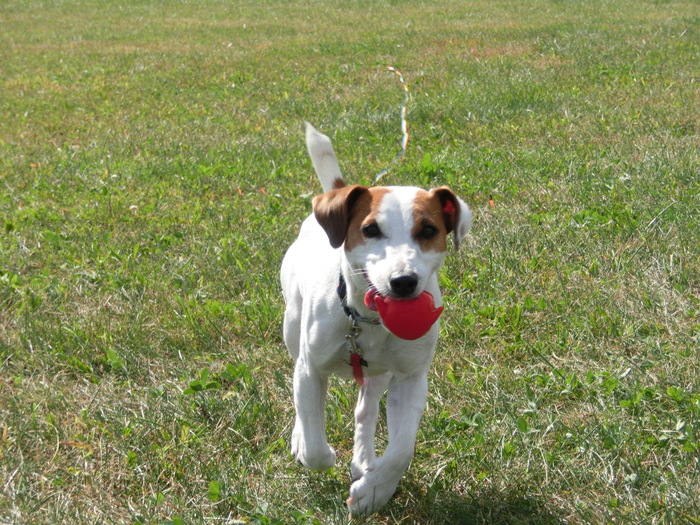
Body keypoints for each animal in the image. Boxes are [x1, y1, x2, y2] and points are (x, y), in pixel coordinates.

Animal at [278, 124, 470, 516]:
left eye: (429, 231)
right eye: (370, 229)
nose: (403, 281)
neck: (365, 322)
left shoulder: (411, 377)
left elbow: (402, 449)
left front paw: (375, 487)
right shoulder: (311, 368)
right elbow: (316, 442)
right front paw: (313, 449)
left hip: (378, 373)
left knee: (365, 411)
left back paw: (364, 460)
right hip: (293, 325)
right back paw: (301, 436)